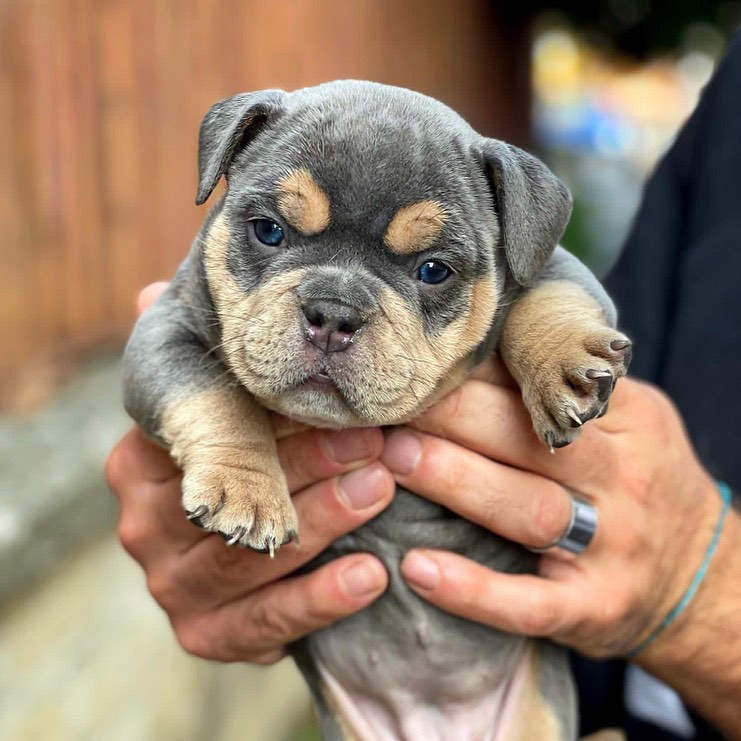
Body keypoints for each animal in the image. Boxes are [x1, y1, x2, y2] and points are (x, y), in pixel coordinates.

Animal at [123, 81, 632, 740]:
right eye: (268, 232)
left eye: (434, 270)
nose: (333, 313)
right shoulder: (164, 331)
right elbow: (211, 392)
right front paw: (248, 489)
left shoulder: (551, 262)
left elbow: (553, 295)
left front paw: (564, 359)